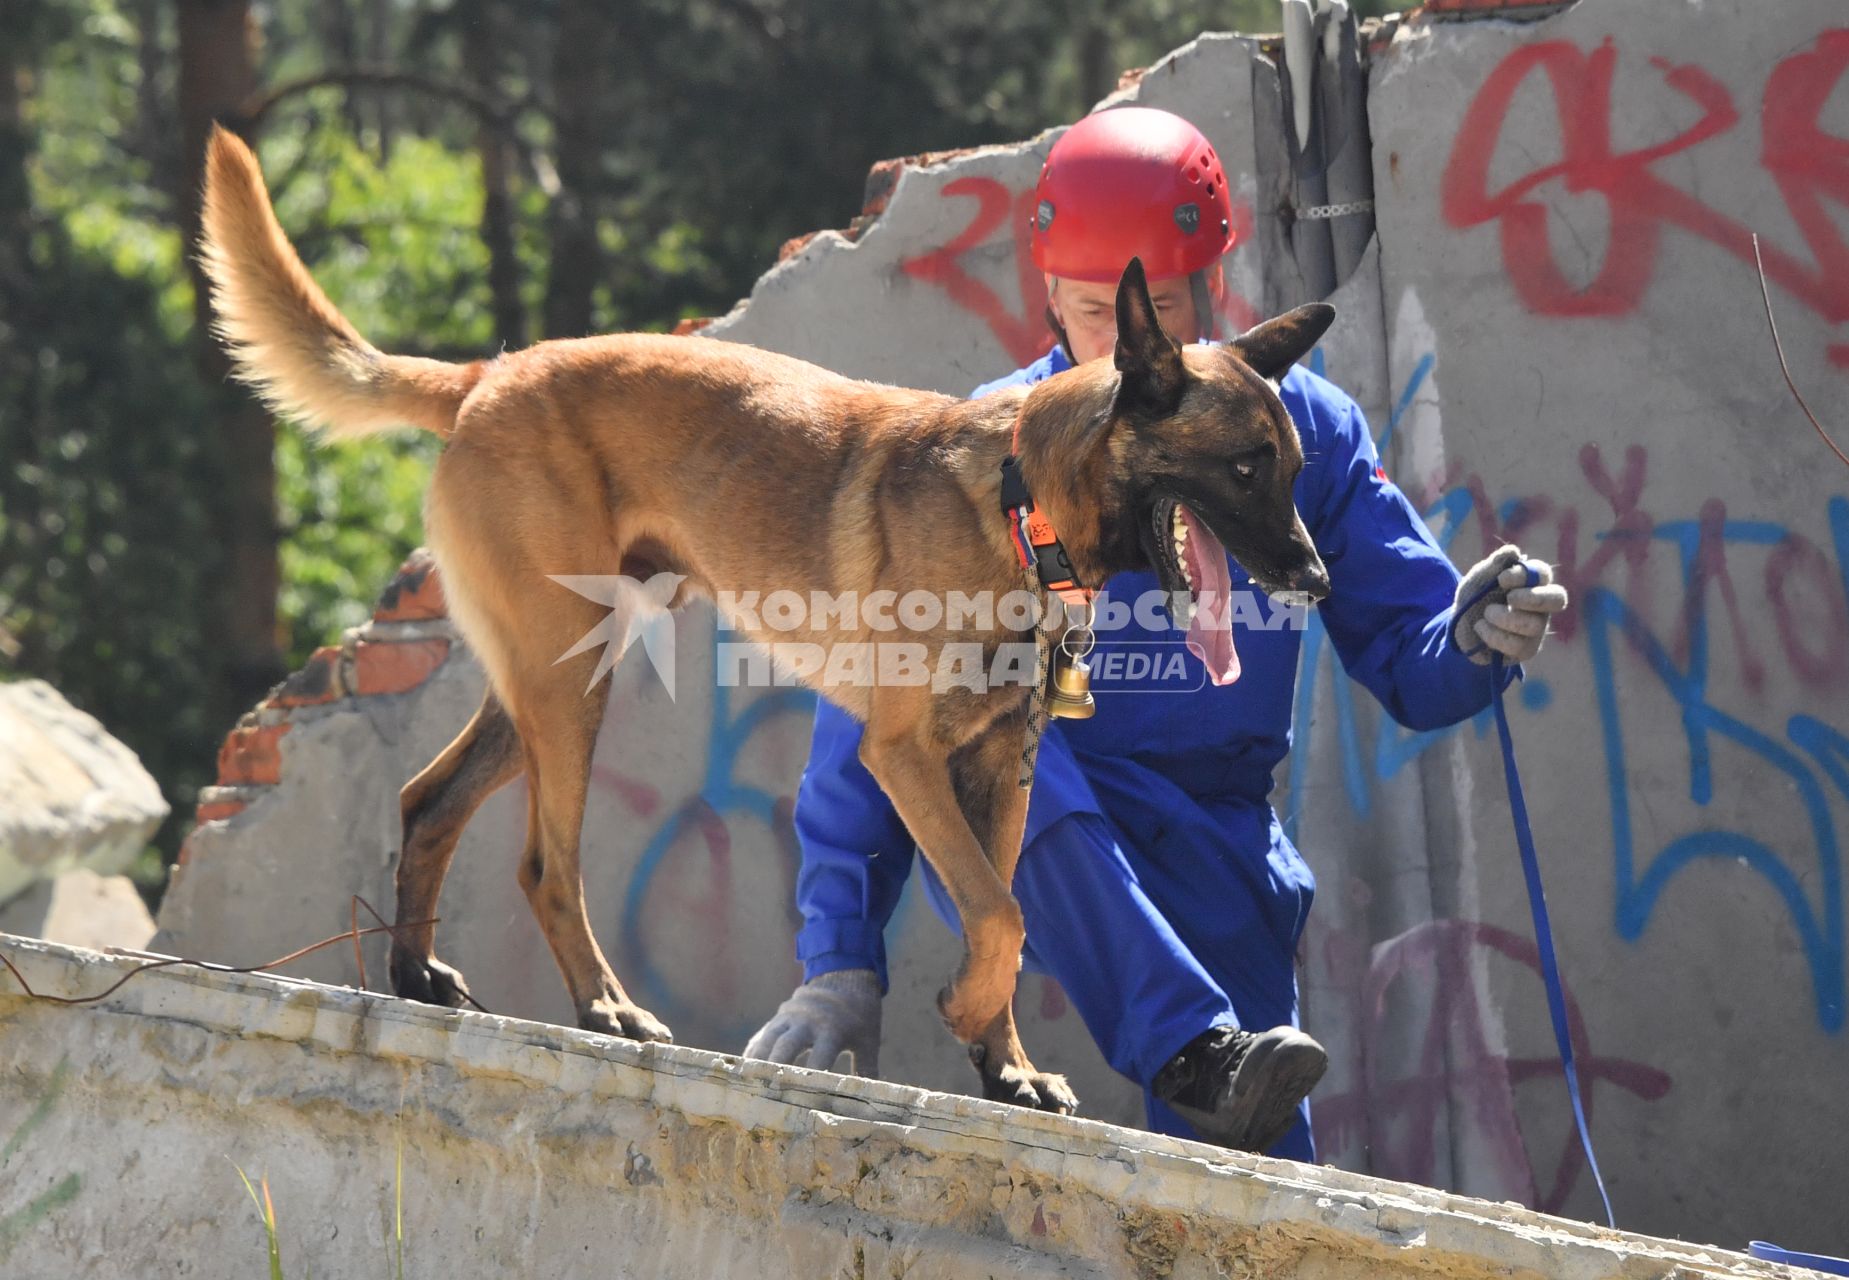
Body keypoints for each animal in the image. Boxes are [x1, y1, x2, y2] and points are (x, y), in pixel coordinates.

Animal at [198, 124, 1331, 1117]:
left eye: (1295, 467)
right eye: (1243, 466)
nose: (1318, 577)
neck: (1020, 505)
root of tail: (490, 374)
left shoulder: (1001, 769)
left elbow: (1001, 909)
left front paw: (1003, 1061)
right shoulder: (902, 754)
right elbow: (998, 912)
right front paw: (968, 1016)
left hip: (548, 681)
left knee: (428, 799)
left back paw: (415, 973)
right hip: (570, 685)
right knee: (543, 864)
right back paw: (604, 1007)